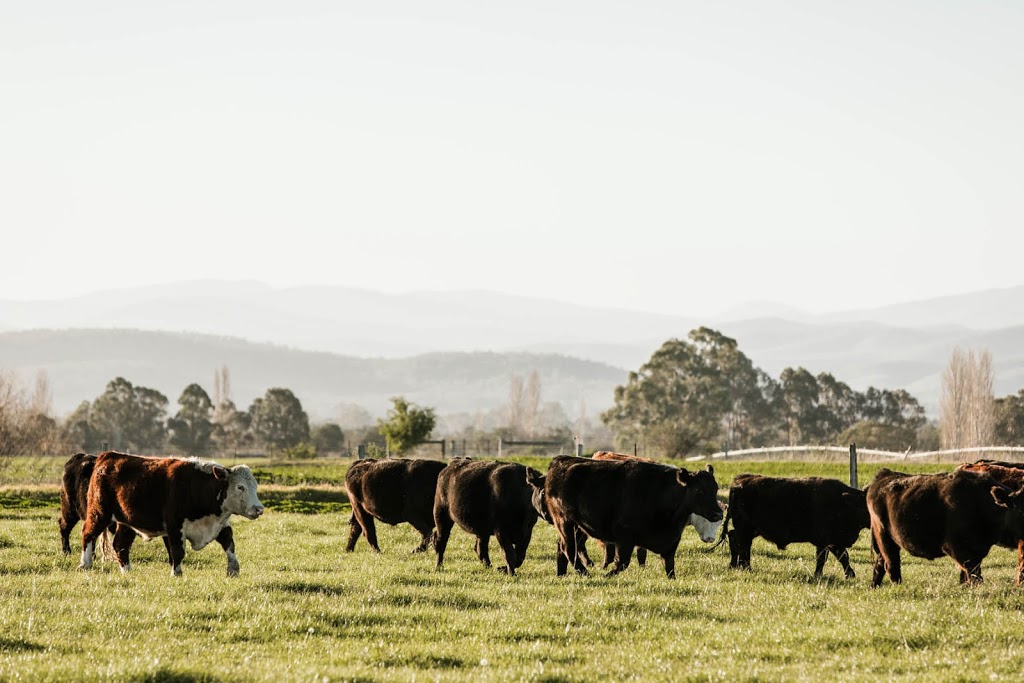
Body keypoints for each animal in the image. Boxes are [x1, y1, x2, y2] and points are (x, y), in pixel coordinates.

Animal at [80, 450, 264, 581]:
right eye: (240, 487)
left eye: (255, 485)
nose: (258, 509)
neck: (200, 487)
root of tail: (107, 456)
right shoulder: (175, 525)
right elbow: (177, 551)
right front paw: (176, 573)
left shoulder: (220, 524)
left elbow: (229, 544)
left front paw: (233, 569)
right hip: (99, 513)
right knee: (88, 534)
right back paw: (85, 564)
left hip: (126, 522)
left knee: (120, 544)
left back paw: (127, 570)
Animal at [544, 456, 720, 581]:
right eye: (699, 490)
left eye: (715, 488)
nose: (718, 513)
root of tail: (560, 461)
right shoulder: (624, 537)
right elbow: (622, 562)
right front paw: (605, 576)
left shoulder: (672, 541)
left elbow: (669, 565)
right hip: (565, 521)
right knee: (568, 547)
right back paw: (585, 573)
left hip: (579, 527)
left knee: (562, 546)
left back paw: (562, 574)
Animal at [716, 475, 868, 581]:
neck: (842, 502)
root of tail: (741, 480)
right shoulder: (830, 541)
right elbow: (841, 557)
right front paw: (849, 575)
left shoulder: (826, 542)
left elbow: (826, 559)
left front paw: (820, 574)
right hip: (745, 529)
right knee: (743, 545)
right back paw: (746, 567)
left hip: (750, 530)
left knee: (734, 539)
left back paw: (734, 565)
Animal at [864, 471, 1024, 589]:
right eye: (1020, 510)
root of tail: (885, 475)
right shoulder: (956, 548)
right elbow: (974, 576)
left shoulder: (976, 550)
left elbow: (967, 576)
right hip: (884, 536)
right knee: (891, 565)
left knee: (880, 564)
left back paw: (874, 586)